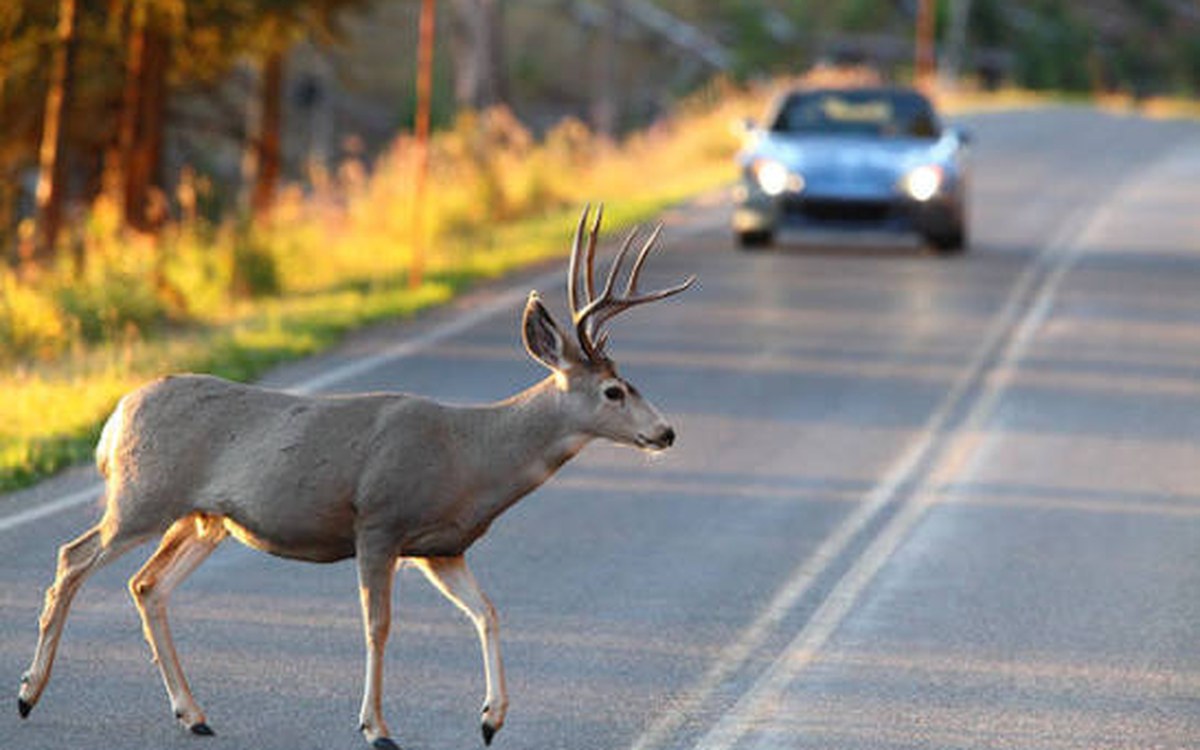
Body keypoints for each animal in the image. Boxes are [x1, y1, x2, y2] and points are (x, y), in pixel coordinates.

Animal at [17, 205, 694, 750]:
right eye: (613, 390)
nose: (665, 433)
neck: (471, 455)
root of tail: (115, 418)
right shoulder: (379, 521)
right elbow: (378, 626)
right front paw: (377, 727)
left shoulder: (442, 547)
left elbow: (488, 613)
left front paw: (491, 719)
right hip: (142, 494)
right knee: (72, 558)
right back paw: (28, 694)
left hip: (204, 518)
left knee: (147, 585)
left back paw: (194, 714)